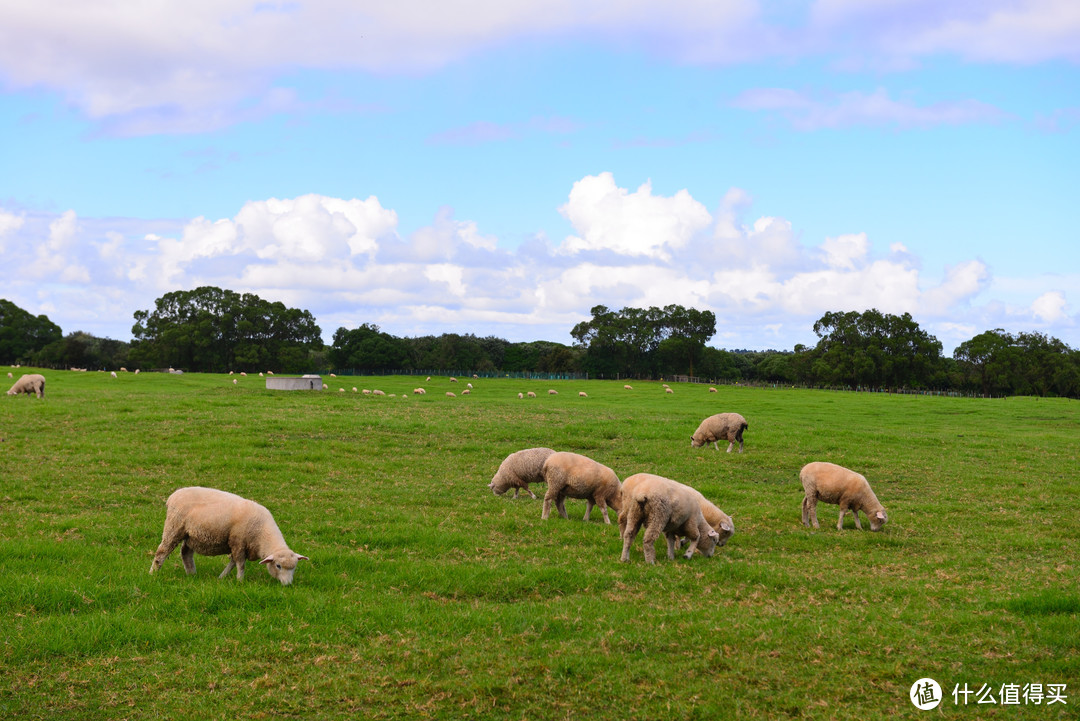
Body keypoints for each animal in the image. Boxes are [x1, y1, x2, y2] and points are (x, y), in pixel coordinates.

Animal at [150, 483, 308, 587]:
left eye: (294, 567)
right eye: (278, 566)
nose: (287, 584)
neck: (261, 533)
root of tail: (173, 496)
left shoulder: (241, 545)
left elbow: (232, 562)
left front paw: (222, 577)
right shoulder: (238, 542)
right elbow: (240, 564)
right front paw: (240, 580)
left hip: (191, 535)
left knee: (185, 553)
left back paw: (192, 574)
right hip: (174, 526)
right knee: (162, 551)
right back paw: (153, 573)